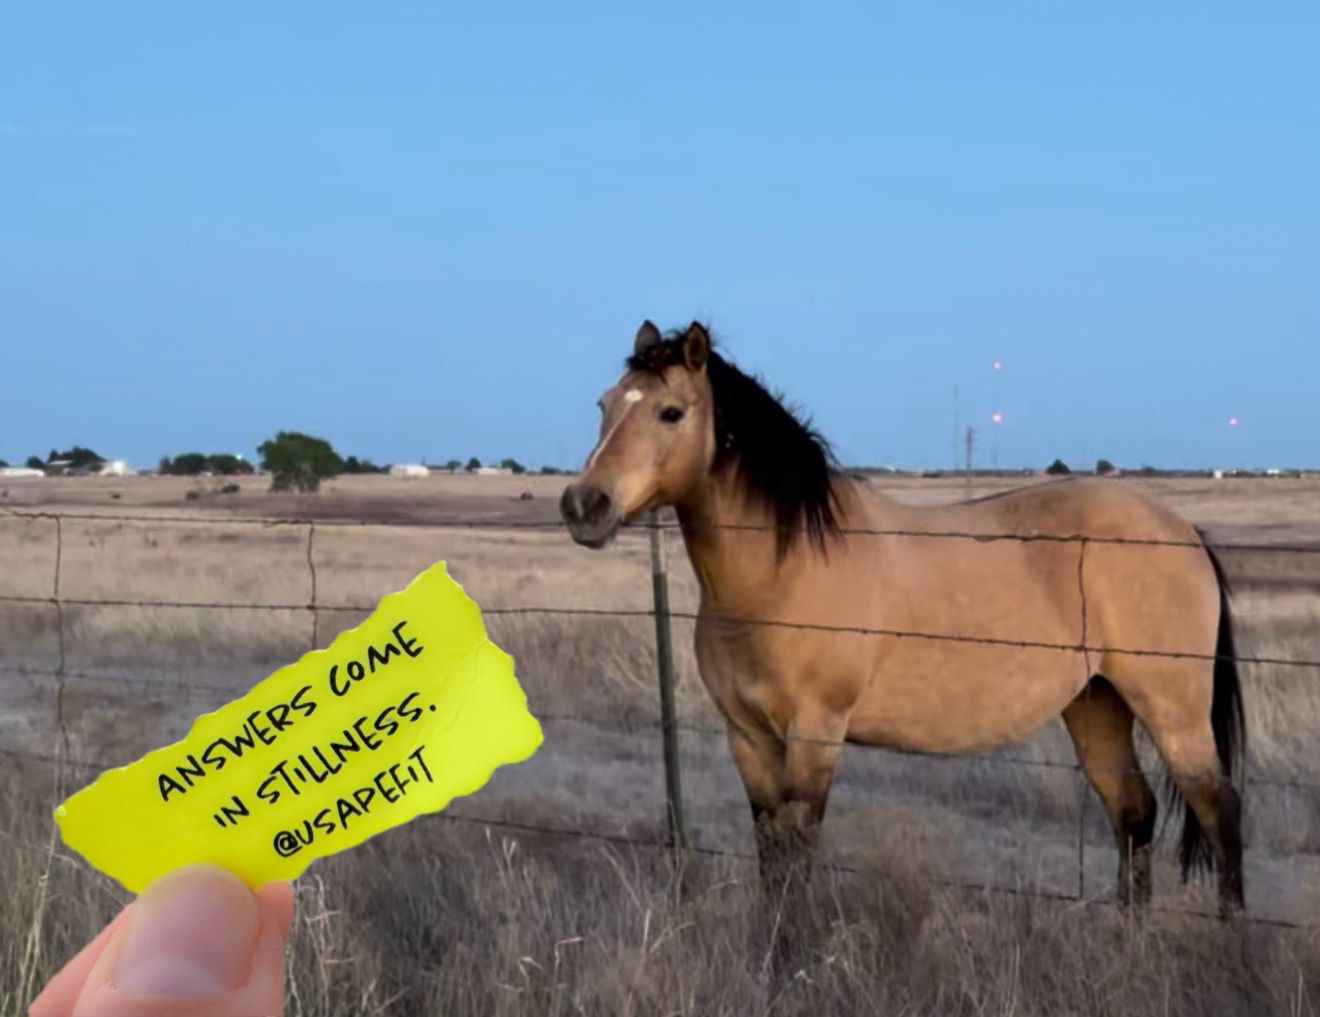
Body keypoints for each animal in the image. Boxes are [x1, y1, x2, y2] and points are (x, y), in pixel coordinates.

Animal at [560, 320, 1245, 920]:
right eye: (604, 404)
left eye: (671, 412)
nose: (583, 505)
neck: (784, 567)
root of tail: (1185, 533)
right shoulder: (747, 737)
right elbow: (770, 859)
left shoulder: (816, 734)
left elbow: (799, 855)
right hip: (1096, 704)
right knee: (1133, 815)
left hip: (1171, 707)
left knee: (1220, 810)